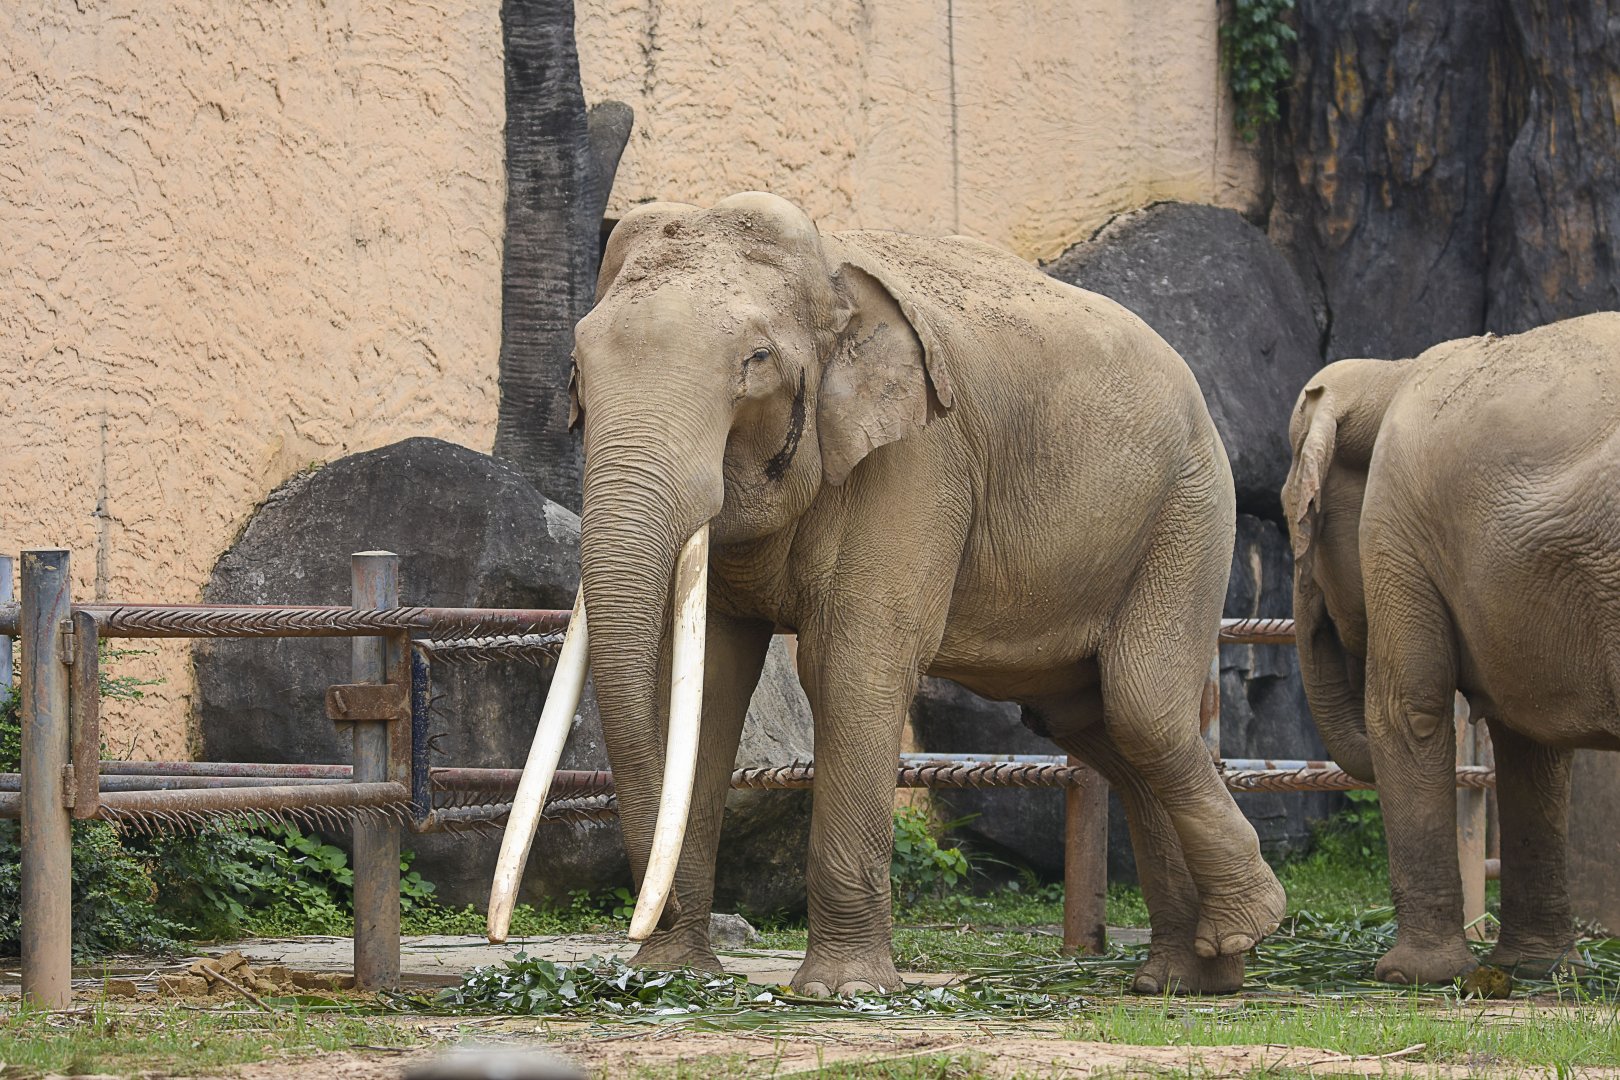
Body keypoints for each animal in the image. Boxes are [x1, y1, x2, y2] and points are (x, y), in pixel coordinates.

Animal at [497, 191, 1284, 997]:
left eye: (756, 360)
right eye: (575, 369)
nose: (644, 928)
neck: (832, 273)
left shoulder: (919, 459)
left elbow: (850, 665)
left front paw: (841, 991)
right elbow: (707, 685)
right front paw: (674, 977)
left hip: (1189, 511)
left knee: (1140, 709)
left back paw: (1243, 930)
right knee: (1093, 722)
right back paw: (1192, 975)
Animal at [1282, 312, 1620, 985]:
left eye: (1294, 515)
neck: (1391, 372)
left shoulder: (1395, 522)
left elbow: (1406, 710)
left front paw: (1412, 977)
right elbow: (1532, 739)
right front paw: (1539, 970)